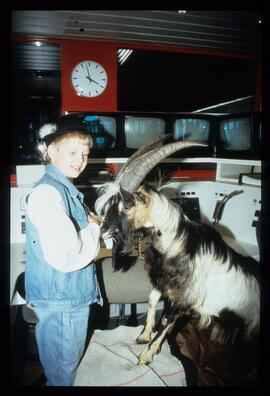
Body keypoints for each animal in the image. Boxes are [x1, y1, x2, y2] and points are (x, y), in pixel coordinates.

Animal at [96, 137, 260, 366]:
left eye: (126, 206)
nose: (101, 231)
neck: (175, 244)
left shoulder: (185, 298)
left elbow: (168, 320)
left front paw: (146, 355)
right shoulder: (162, 283)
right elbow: (152, 301)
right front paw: (144, 336)